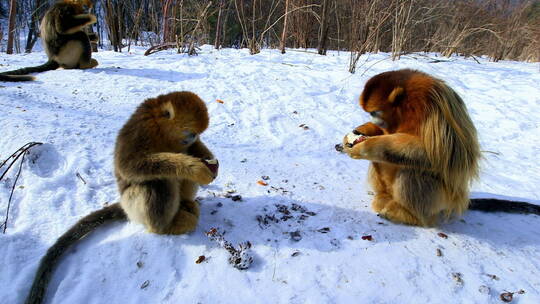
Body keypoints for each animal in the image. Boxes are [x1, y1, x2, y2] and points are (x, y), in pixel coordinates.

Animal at [23, 92, 217, 304]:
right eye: (190, 132)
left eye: (196, 134)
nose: (193, 137)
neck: (160, 128)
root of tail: (125, 206)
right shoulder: (141, 130)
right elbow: (130, 166)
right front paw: (195, 168)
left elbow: (193, 149)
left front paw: (209, 160)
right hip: (133, 203)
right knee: (158, 181)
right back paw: (166, 227)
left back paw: (185, 203)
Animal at [342, 69, 540, 226]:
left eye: (374, 112)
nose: (373, 119)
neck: (406, 104)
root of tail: (457, 201)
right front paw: (358, 133)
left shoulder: (432, 103)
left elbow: (444, 154)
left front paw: (365, 146)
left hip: (440, 199)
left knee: (411, 170)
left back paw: (411, 216)